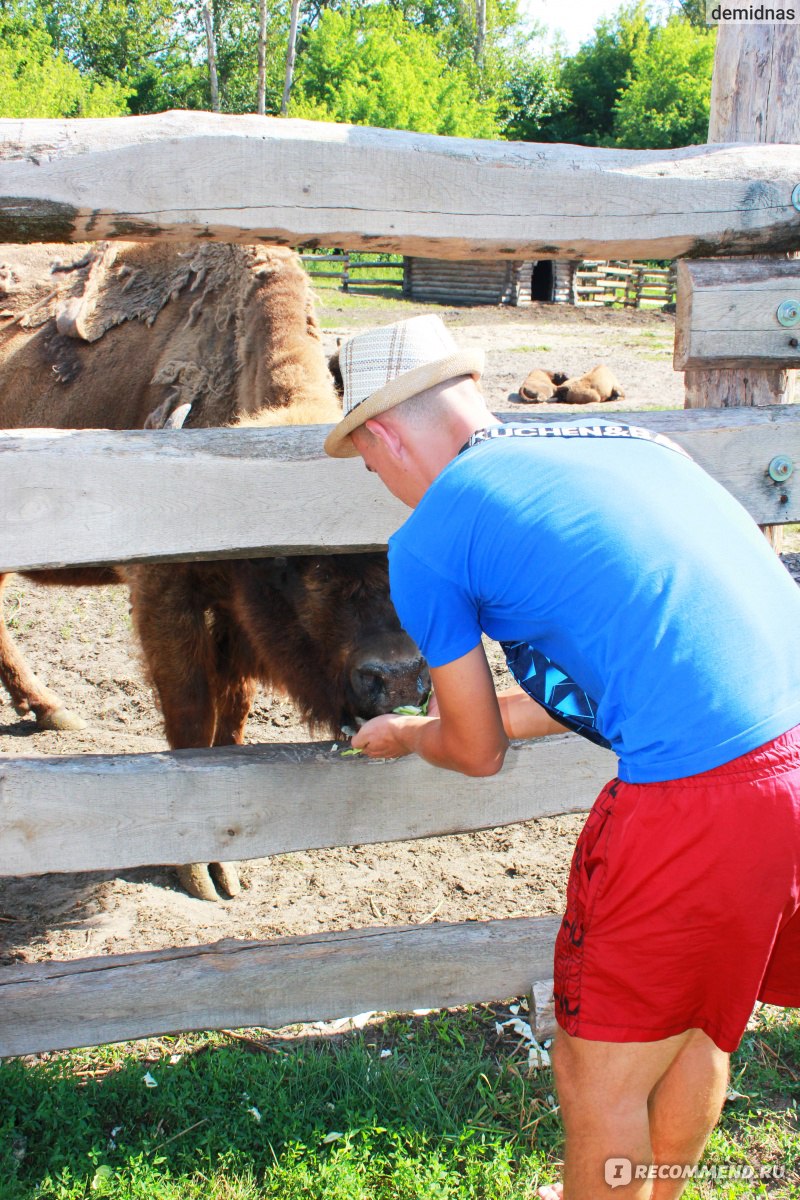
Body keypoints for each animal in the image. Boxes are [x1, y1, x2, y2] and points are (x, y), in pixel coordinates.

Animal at [0, 243, 429, 897]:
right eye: (283, 558)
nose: (399, 678)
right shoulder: (167, 602)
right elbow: (192, 720)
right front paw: (199, 871)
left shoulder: (235, 626)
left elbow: (232, 721)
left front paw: (230, 867)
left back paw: (51, 711)